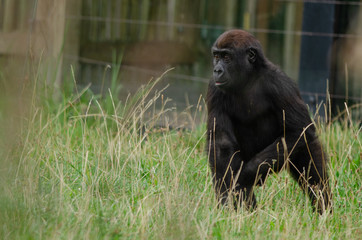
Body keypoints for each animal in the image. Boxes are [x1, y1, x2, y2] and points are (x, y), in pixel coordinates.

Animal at [206, 29, 330, 214]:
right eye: (216, 56)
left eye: (227, 57)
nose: (217, 70)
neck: (249, 77)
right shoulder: (214, 88)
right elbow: (221, 144)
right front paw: (228, 194)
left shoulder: (281, 85)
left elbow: (299, 130)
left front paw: (248, 173)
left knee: (313, 174)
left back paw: (325, 212)